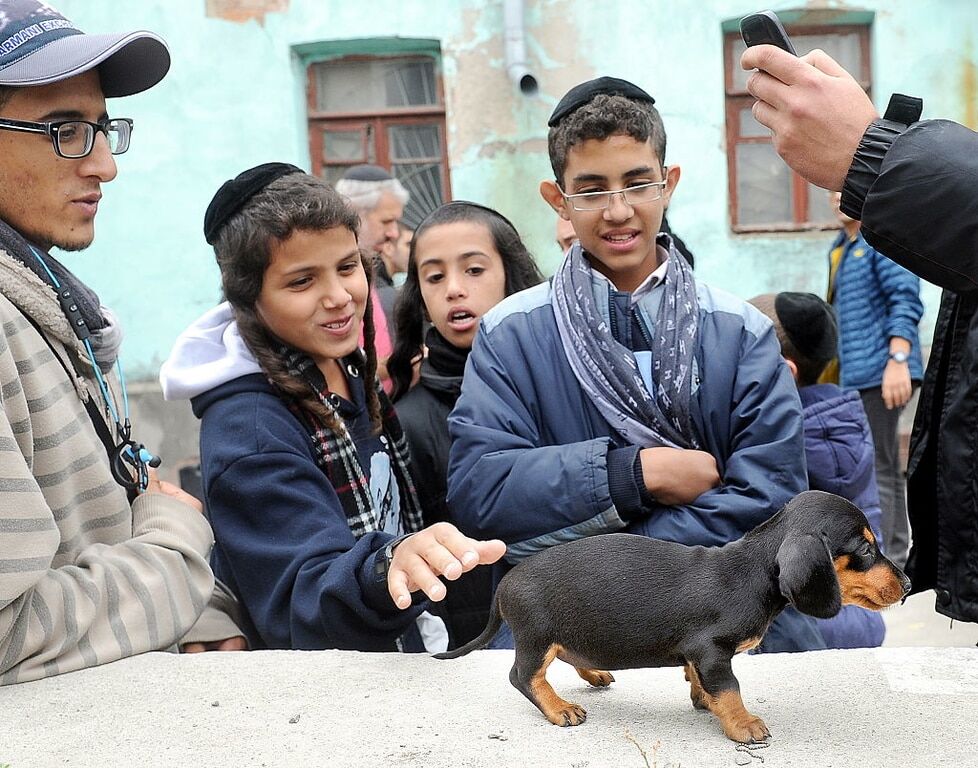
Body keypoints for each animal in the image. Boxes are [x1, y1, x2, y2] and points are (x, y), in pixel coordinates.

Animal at [434, 492, 908, 744]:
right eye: (865, 548)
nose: (906, 585)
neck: (752, 571)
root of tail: (505, 584)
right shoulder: (713, 651)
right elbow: (730, 688)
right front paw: (743, 724)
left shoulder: (701, 655)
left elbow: (701, 681)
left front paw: (704, 700)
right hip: (536, 636)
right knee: (524, 676)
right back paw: (560, 708)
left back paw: (594, 674)